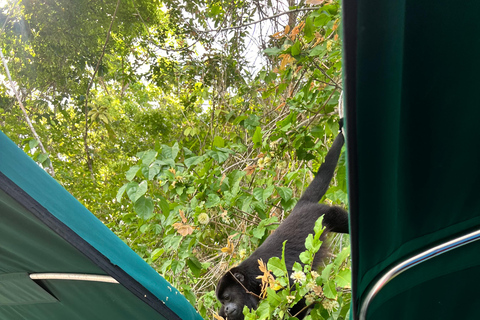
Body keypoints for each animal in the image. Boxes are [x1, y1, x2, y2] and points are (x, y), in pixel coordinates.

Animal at [216, 131, 346, 320]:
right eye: (222, 301)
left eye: (227, 297)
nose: (225, 308)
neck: (249, 281)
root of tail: (301, 206)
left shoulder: (269, 278)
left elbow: (299, 297)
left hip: (324, 214)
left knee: (339, 217)